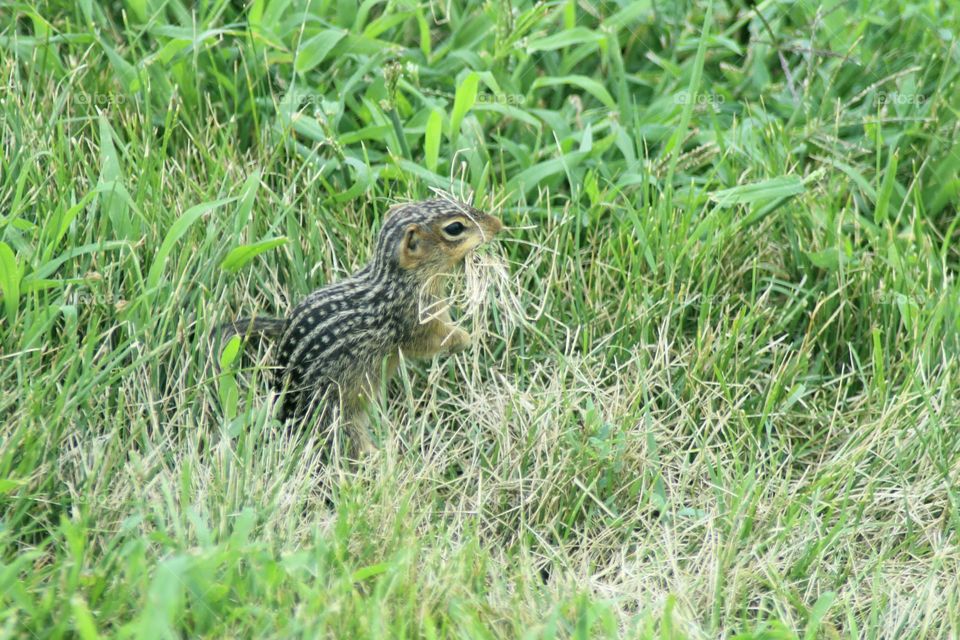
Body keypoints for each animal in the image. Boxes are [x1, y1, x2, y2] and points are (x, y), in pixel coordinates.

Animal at [217, 198, 504, 454]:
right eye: (455, 228)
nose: (498, 224)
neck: (398, 281)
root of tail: (282, 406)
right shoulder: (413, 323)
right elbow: (428, 342)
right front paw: (464, 339)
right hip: (333, 412)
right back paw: (378, 456)